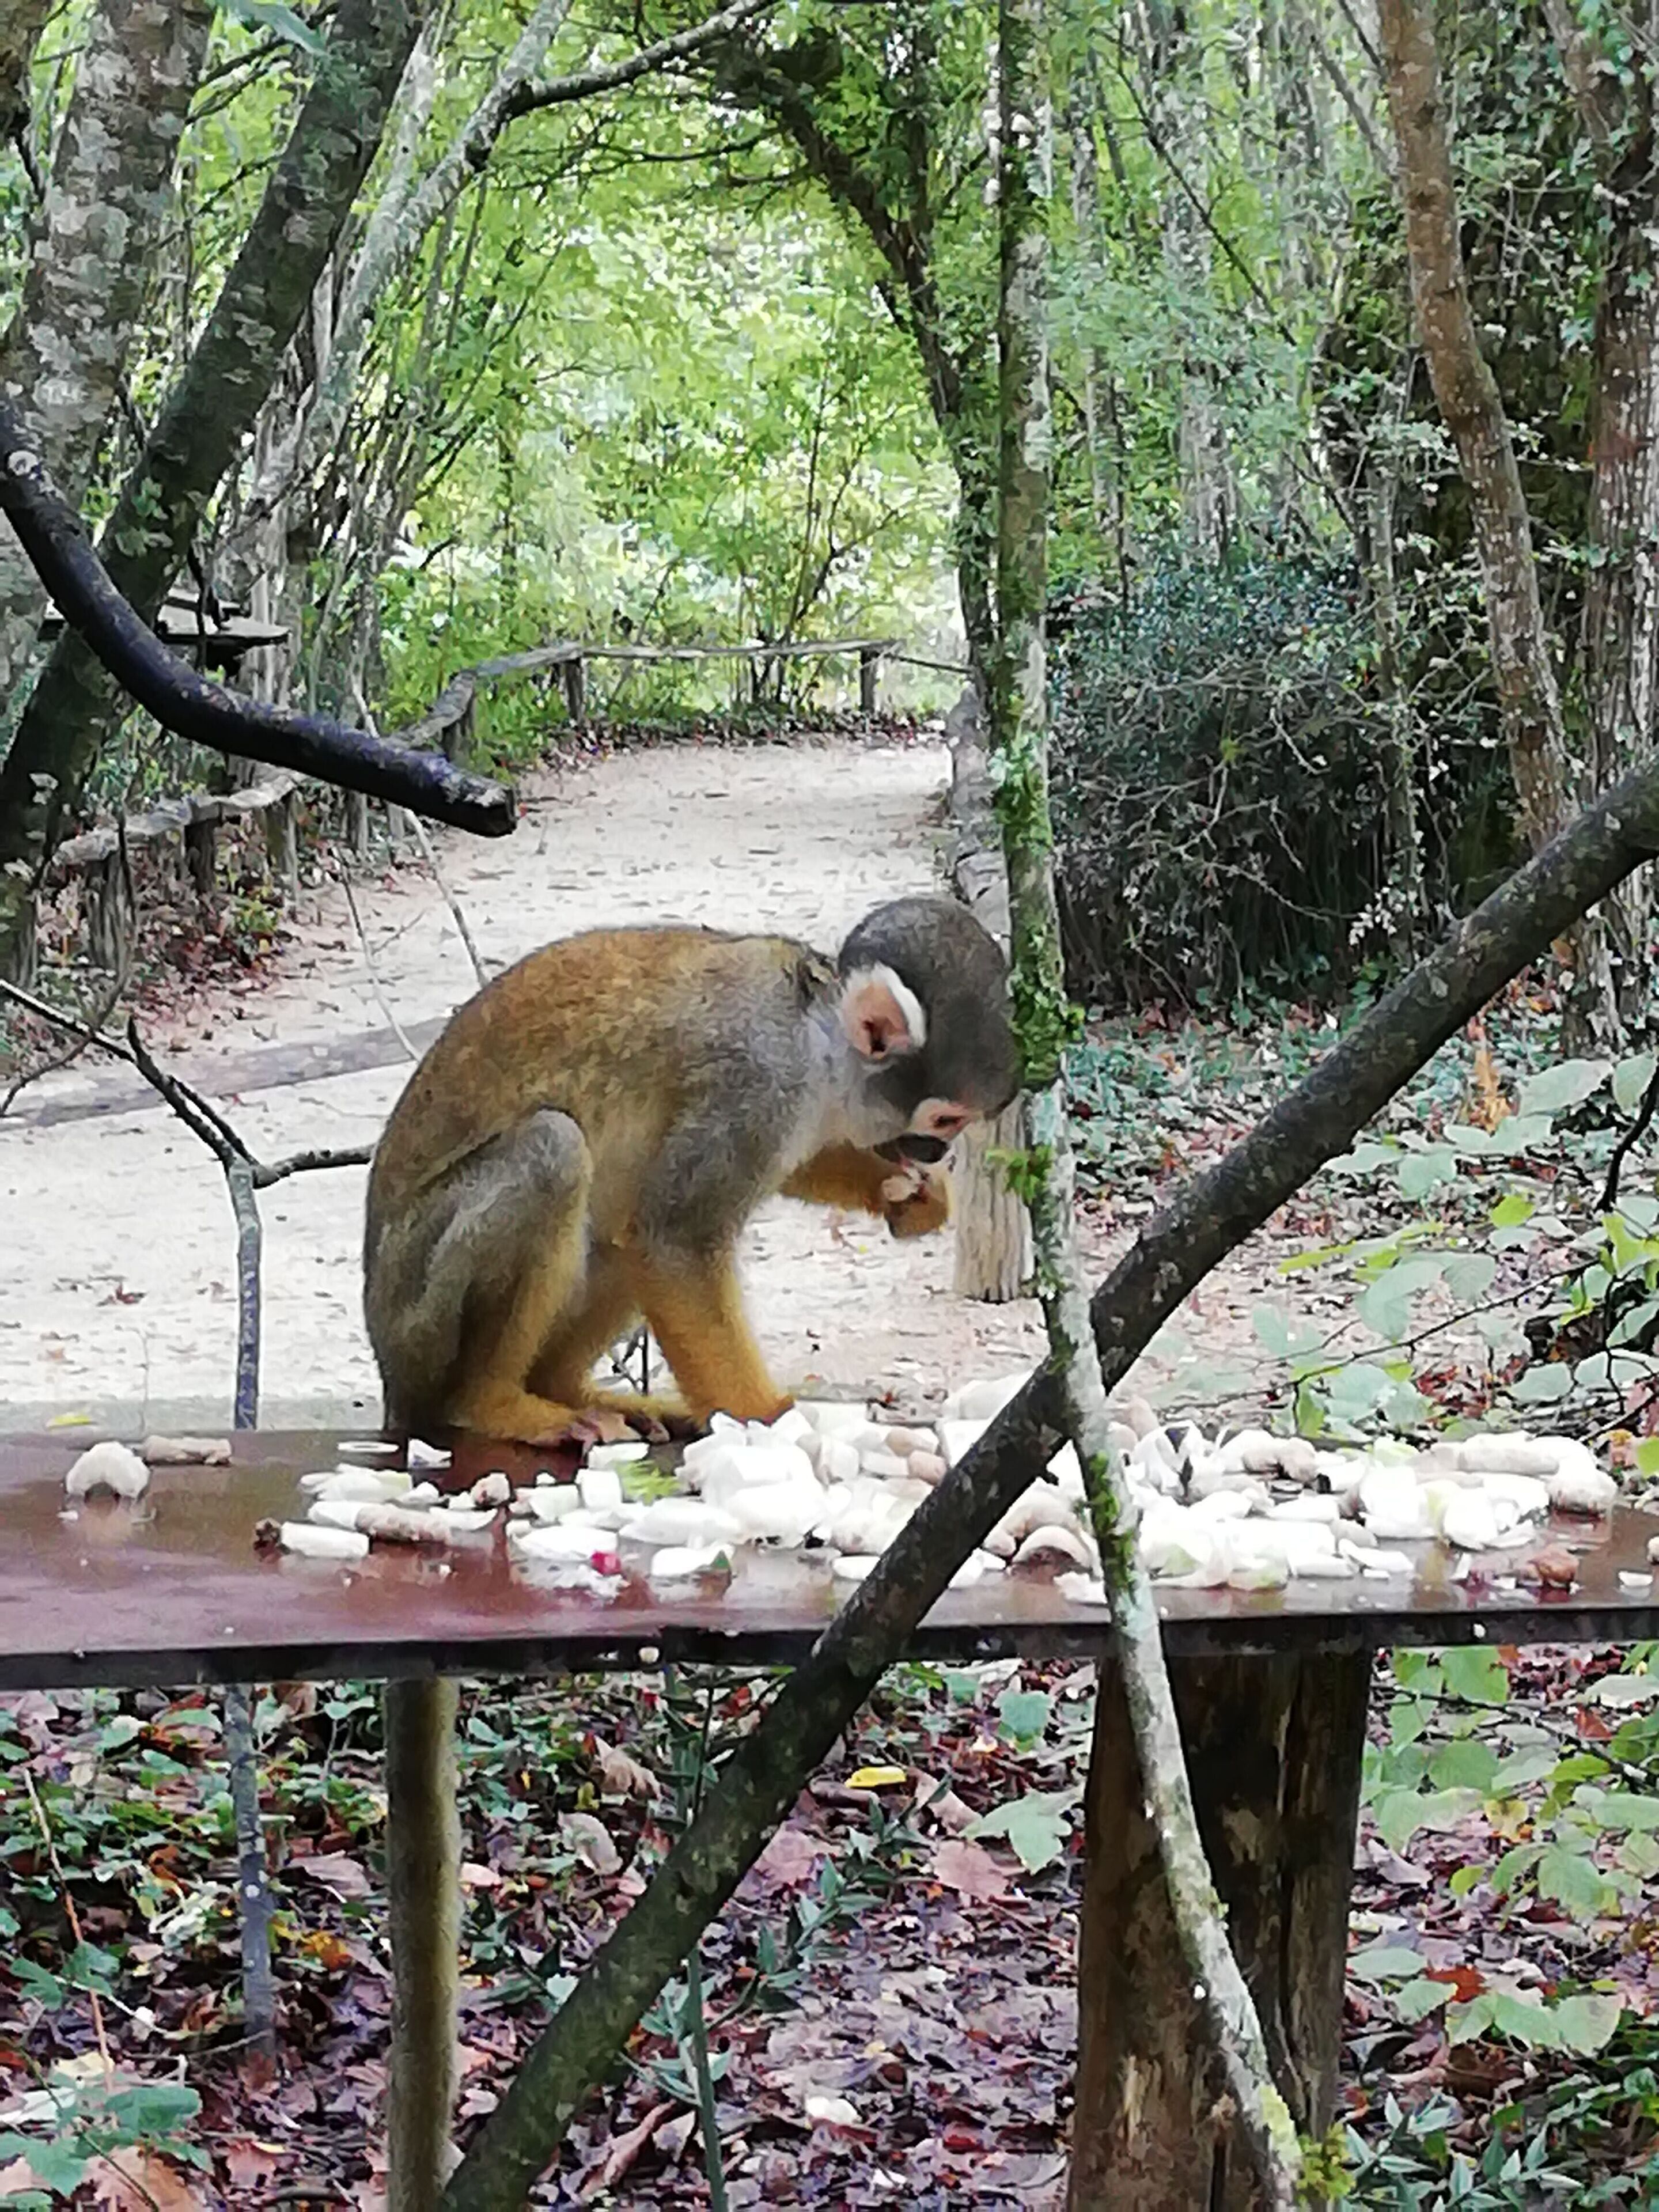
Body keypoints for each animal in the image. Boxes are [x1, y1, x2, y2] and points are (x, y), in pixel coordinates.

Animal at [362, 894, 1019, 1444]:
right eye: (945, 1119)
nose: (937, 1155)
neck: (819, 1040)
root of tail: (389, 1370)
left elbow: (790, 1168)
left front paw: (912, 1198)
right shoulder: (760, 1080)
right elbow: (676, 1241)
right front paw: (769, 1423)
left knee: (618, 1219)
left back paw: (567, 1391)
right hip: (416, 1321)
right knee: (554, 1151)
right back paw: (490, 1403)